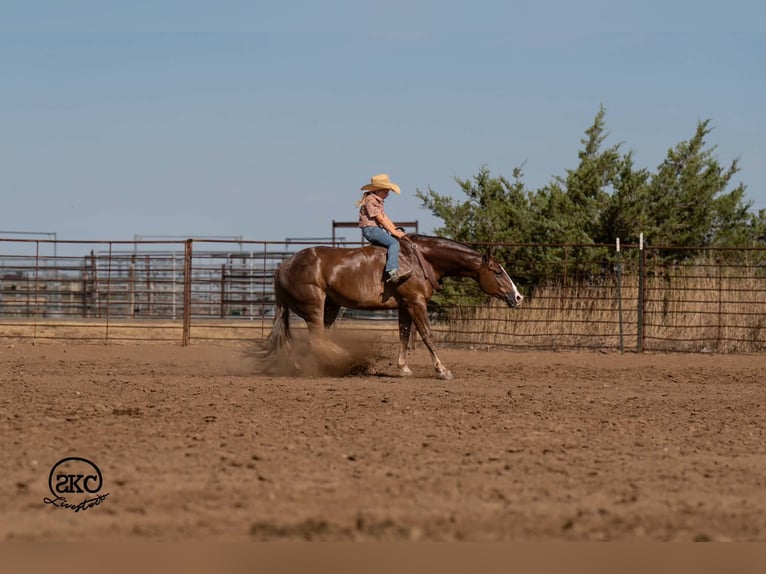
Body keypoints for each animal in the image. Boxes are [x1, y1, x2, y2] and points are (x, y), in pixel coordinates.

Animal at [264, 234, 523, 379]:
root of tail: (284, 265)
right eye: (497, 272)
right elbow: (427, 334)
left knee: (317, 340)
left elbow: (404, 335)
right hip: (314, 307)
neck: (421, 259)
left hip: (330, 307)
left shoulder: (405, 305)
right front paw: (442, 370)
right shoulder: (416, 301)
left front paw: (404, 369)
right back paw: (351, 360)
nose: (518, 297)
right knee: (317, 339)